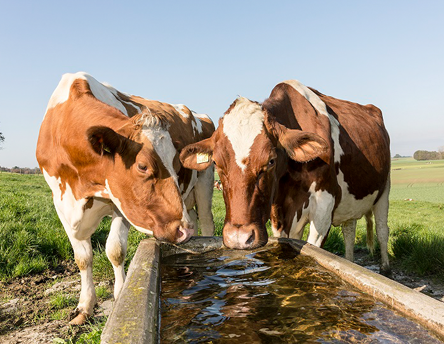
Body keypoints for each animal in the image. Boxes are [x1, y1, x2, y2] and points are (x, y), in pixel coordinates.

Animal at [35, 71, 214, 324]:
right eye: (142, 166)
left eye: (177, 165)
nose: (182, 230)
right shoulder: (60, 203)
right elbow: (82, 257)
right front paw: (84, 307)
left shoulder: (121, 204)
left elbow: (115, 250)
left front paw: (120, 297)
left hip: (205, 181)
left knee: (207, 221)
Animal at [180, 80, 388, 274]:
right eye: (216, 162)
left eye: (271, 161)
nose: (239, 238)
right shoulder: (279, 210)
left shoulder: (324, 205)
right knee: (349, 230)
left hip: (384, 192)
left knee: (381, 230)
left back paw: (385, 268)